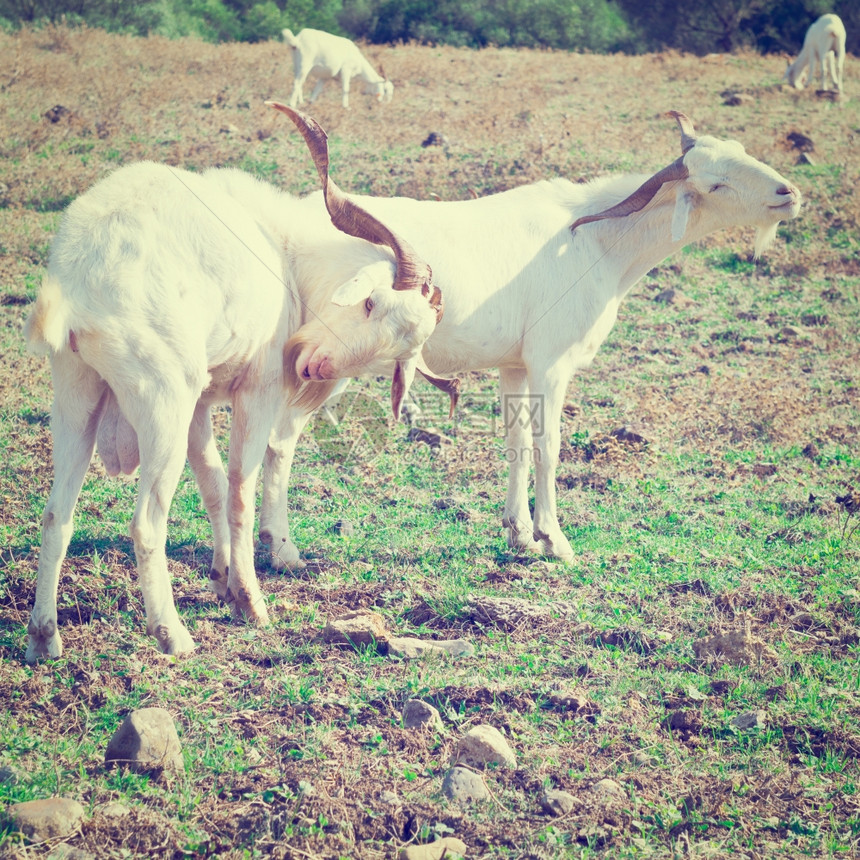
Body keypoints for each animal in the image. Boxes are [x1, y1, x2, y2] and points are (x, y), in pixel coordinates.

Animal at [24, 104, 450, 660]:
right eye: (370, 302)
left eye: (398, 353)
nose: (315, 369)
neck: (284, 254)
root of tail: (78, 284)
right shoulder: (256, 392)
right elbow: (239, 492)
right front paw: (250, 602)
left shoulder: (202, 401)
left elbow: (211, 484)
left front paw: (223, 578)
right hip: (162, 401)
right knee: (146, 523)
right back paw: (172, 635)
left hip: (77, 396)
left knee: (57, 516)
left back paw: (42, 638)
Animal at [260, 104, 800, 568]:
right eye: (716, 183)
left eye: (741, 150)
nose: (787, 194)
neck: (592, 241)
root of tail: (287, 232)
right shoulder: (550, 363)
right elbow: (549, 444)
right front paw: (554, 539)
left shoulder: (515, 365)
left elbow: (517, 441)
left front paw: (520, 534)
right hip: (327, 361)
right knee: (280, 440)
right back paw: (282, 549)